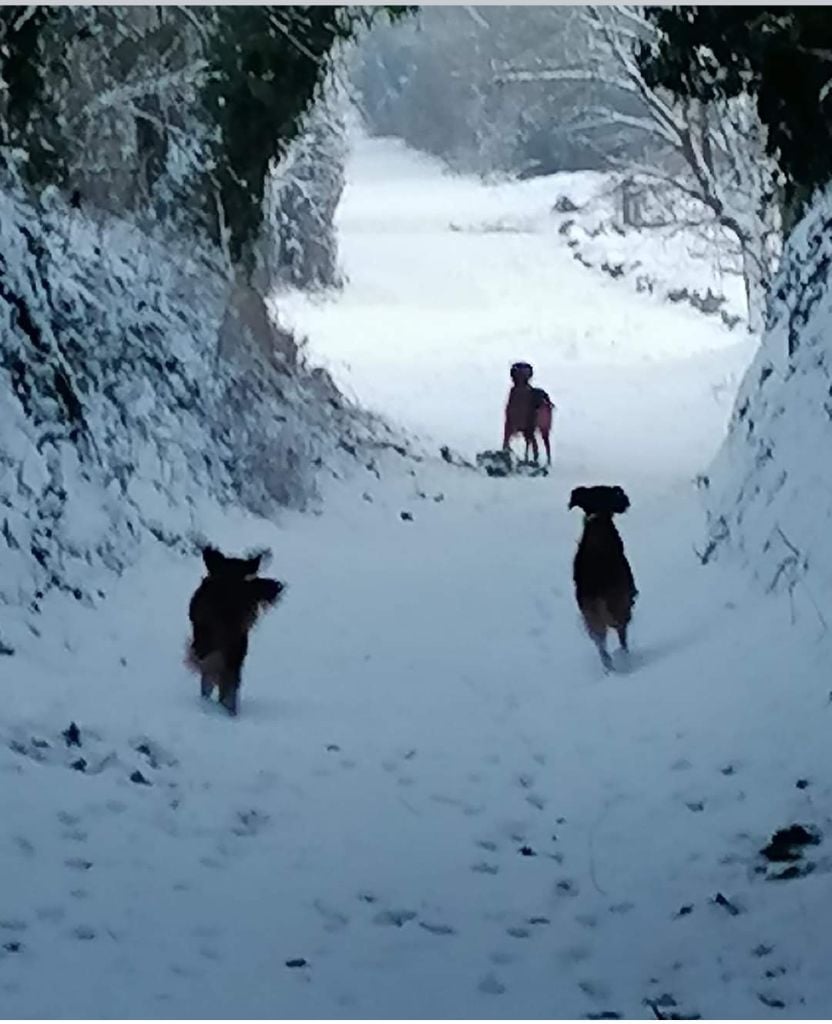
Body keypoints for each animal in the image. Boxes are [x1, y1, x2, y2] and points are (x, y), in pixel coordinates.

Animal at [569, 487, 639, 671]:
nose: (626, 501)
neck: (597, 518)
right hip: (619, 609)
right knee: (622, 634)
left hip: (593, 620)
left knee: (602, 648)